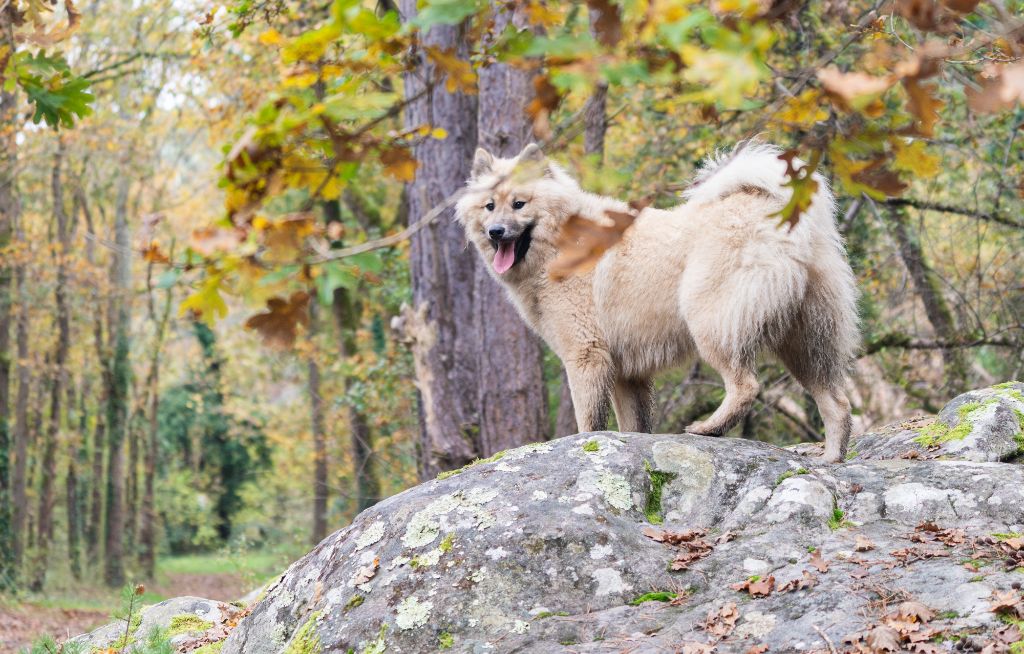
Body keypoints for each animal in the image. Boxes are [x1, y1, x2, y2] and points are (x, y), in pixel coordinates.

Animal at [452, 141, 860, 462]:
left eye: (519, 204)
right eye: (489, 206)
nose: (496, 232)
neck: (561, 241)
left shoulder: (585, 356)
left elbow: (588, 422)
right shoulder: (627, 375)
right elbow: (634, 426)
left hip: (711, 322)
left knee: (745, 386)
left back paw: (708, 428)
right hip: (806, 342)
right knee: (836, 402)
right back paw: (831, 458)